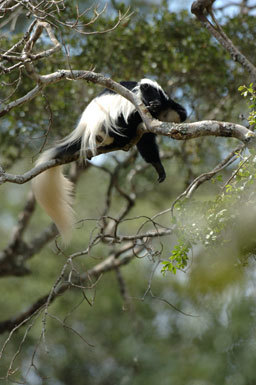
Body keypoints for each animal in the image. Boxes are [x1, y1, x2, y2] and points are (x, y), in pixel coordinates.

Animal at [32, 76, 186, 242]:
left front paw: (158, 166)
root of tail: (85, 130)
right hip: (109, 124)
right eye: (151, 96)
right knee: (124, 121)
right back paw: (121, 139)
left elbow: (147, 142)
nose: (154, 105)